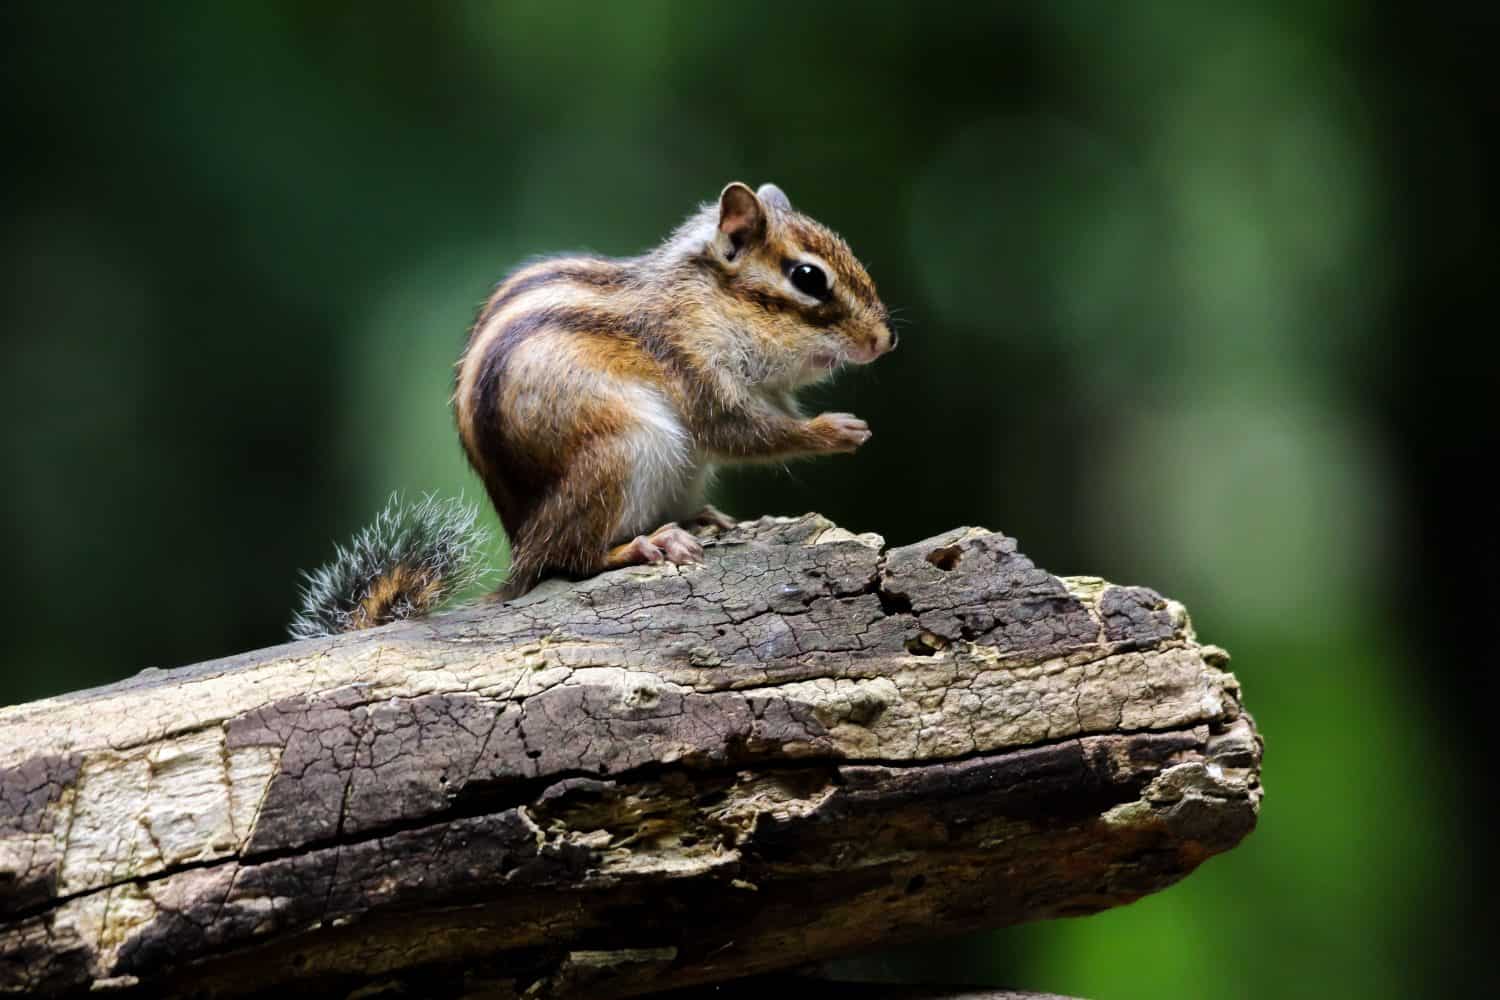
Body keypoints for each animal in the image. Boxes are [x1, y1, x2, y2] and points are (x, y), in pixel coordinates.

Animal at [290, 182, 895, 639]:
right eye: (808, 278)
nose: (885, 342)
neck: (708, 301)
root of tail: (522, 547)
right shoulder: (690, 361)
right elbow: (739, 433)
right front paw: (835, 430)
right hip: (624, 451)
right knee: (570, 560)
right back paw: (647, 543)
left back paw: (698, 517)